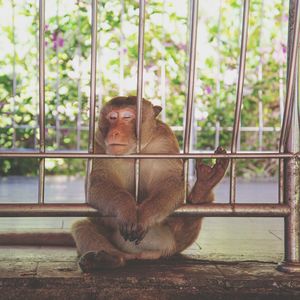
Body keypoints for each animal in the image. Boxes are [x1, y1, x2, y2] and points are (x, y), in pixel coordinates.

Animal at [71, 95, 230, 272]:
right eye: (112, 117)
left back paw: (202, 189)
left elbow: (172, 182)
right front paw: (126, 209)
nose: (115, 132)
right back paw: (109, 259)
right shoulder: (99, 145)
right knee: (83, 226)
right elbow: (96, 184)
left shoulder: (164, 142)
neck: (134, 153)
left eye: (127, 117)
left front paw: (145, 216)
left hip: (179, 239)